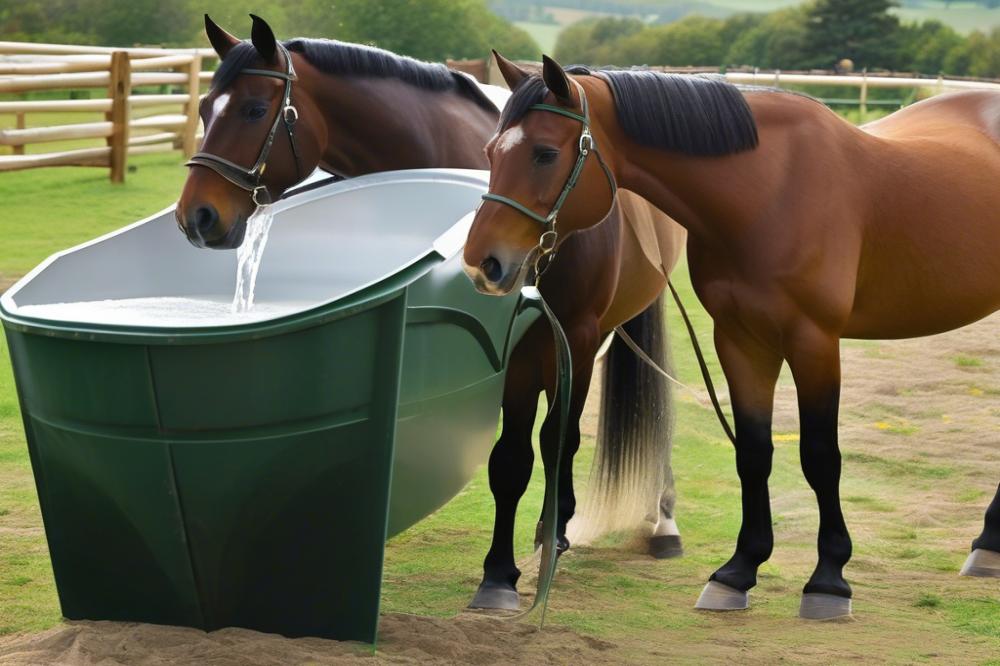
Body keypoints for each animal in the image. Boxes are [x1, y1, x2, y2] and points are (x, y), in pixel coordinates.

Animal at [174, 15, 688, 608]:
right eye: (205, 109)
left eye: (255, 110)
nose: (196, 217)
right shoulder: (514, 352)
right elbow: (510, 458)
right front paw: (501, 570)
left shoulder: (565, 340)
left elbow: (548, 445)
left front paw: (523, 558)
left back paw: (656, 523)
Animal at [462, 53, 1000, 616]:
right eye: (491, 152)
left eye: (545, 154)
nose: (483, 264)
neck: (769, 190)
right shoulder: (740, 340)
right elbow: (753, 452)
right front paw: (738, 572)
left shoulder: (814, 342)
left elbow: (820, 457)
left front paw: (828, 580)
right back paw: (989, 545)